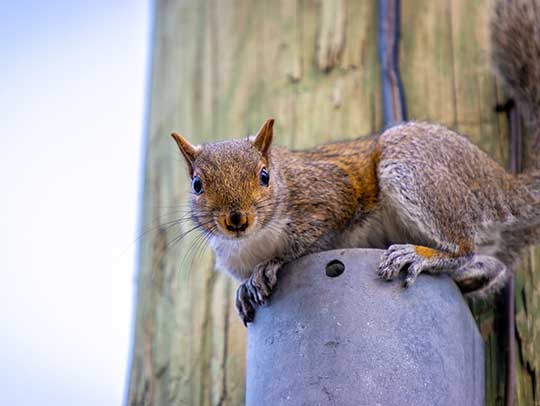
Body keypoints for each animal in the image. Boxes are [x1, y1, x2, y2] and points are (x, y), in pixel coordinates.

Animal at [170, 0, 540, 326]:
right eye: (197, 185)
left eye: (264, 175)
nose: (237, 220)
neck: (255, 239)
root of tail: (504, 185)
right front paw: (244, 290)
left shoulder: (330, 196)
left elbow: (313, 238)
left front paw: (270, 265)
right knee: (491, 265)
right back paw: (473, 275)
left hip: (413, 167)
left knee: (462, 247)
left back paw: (420, 255)